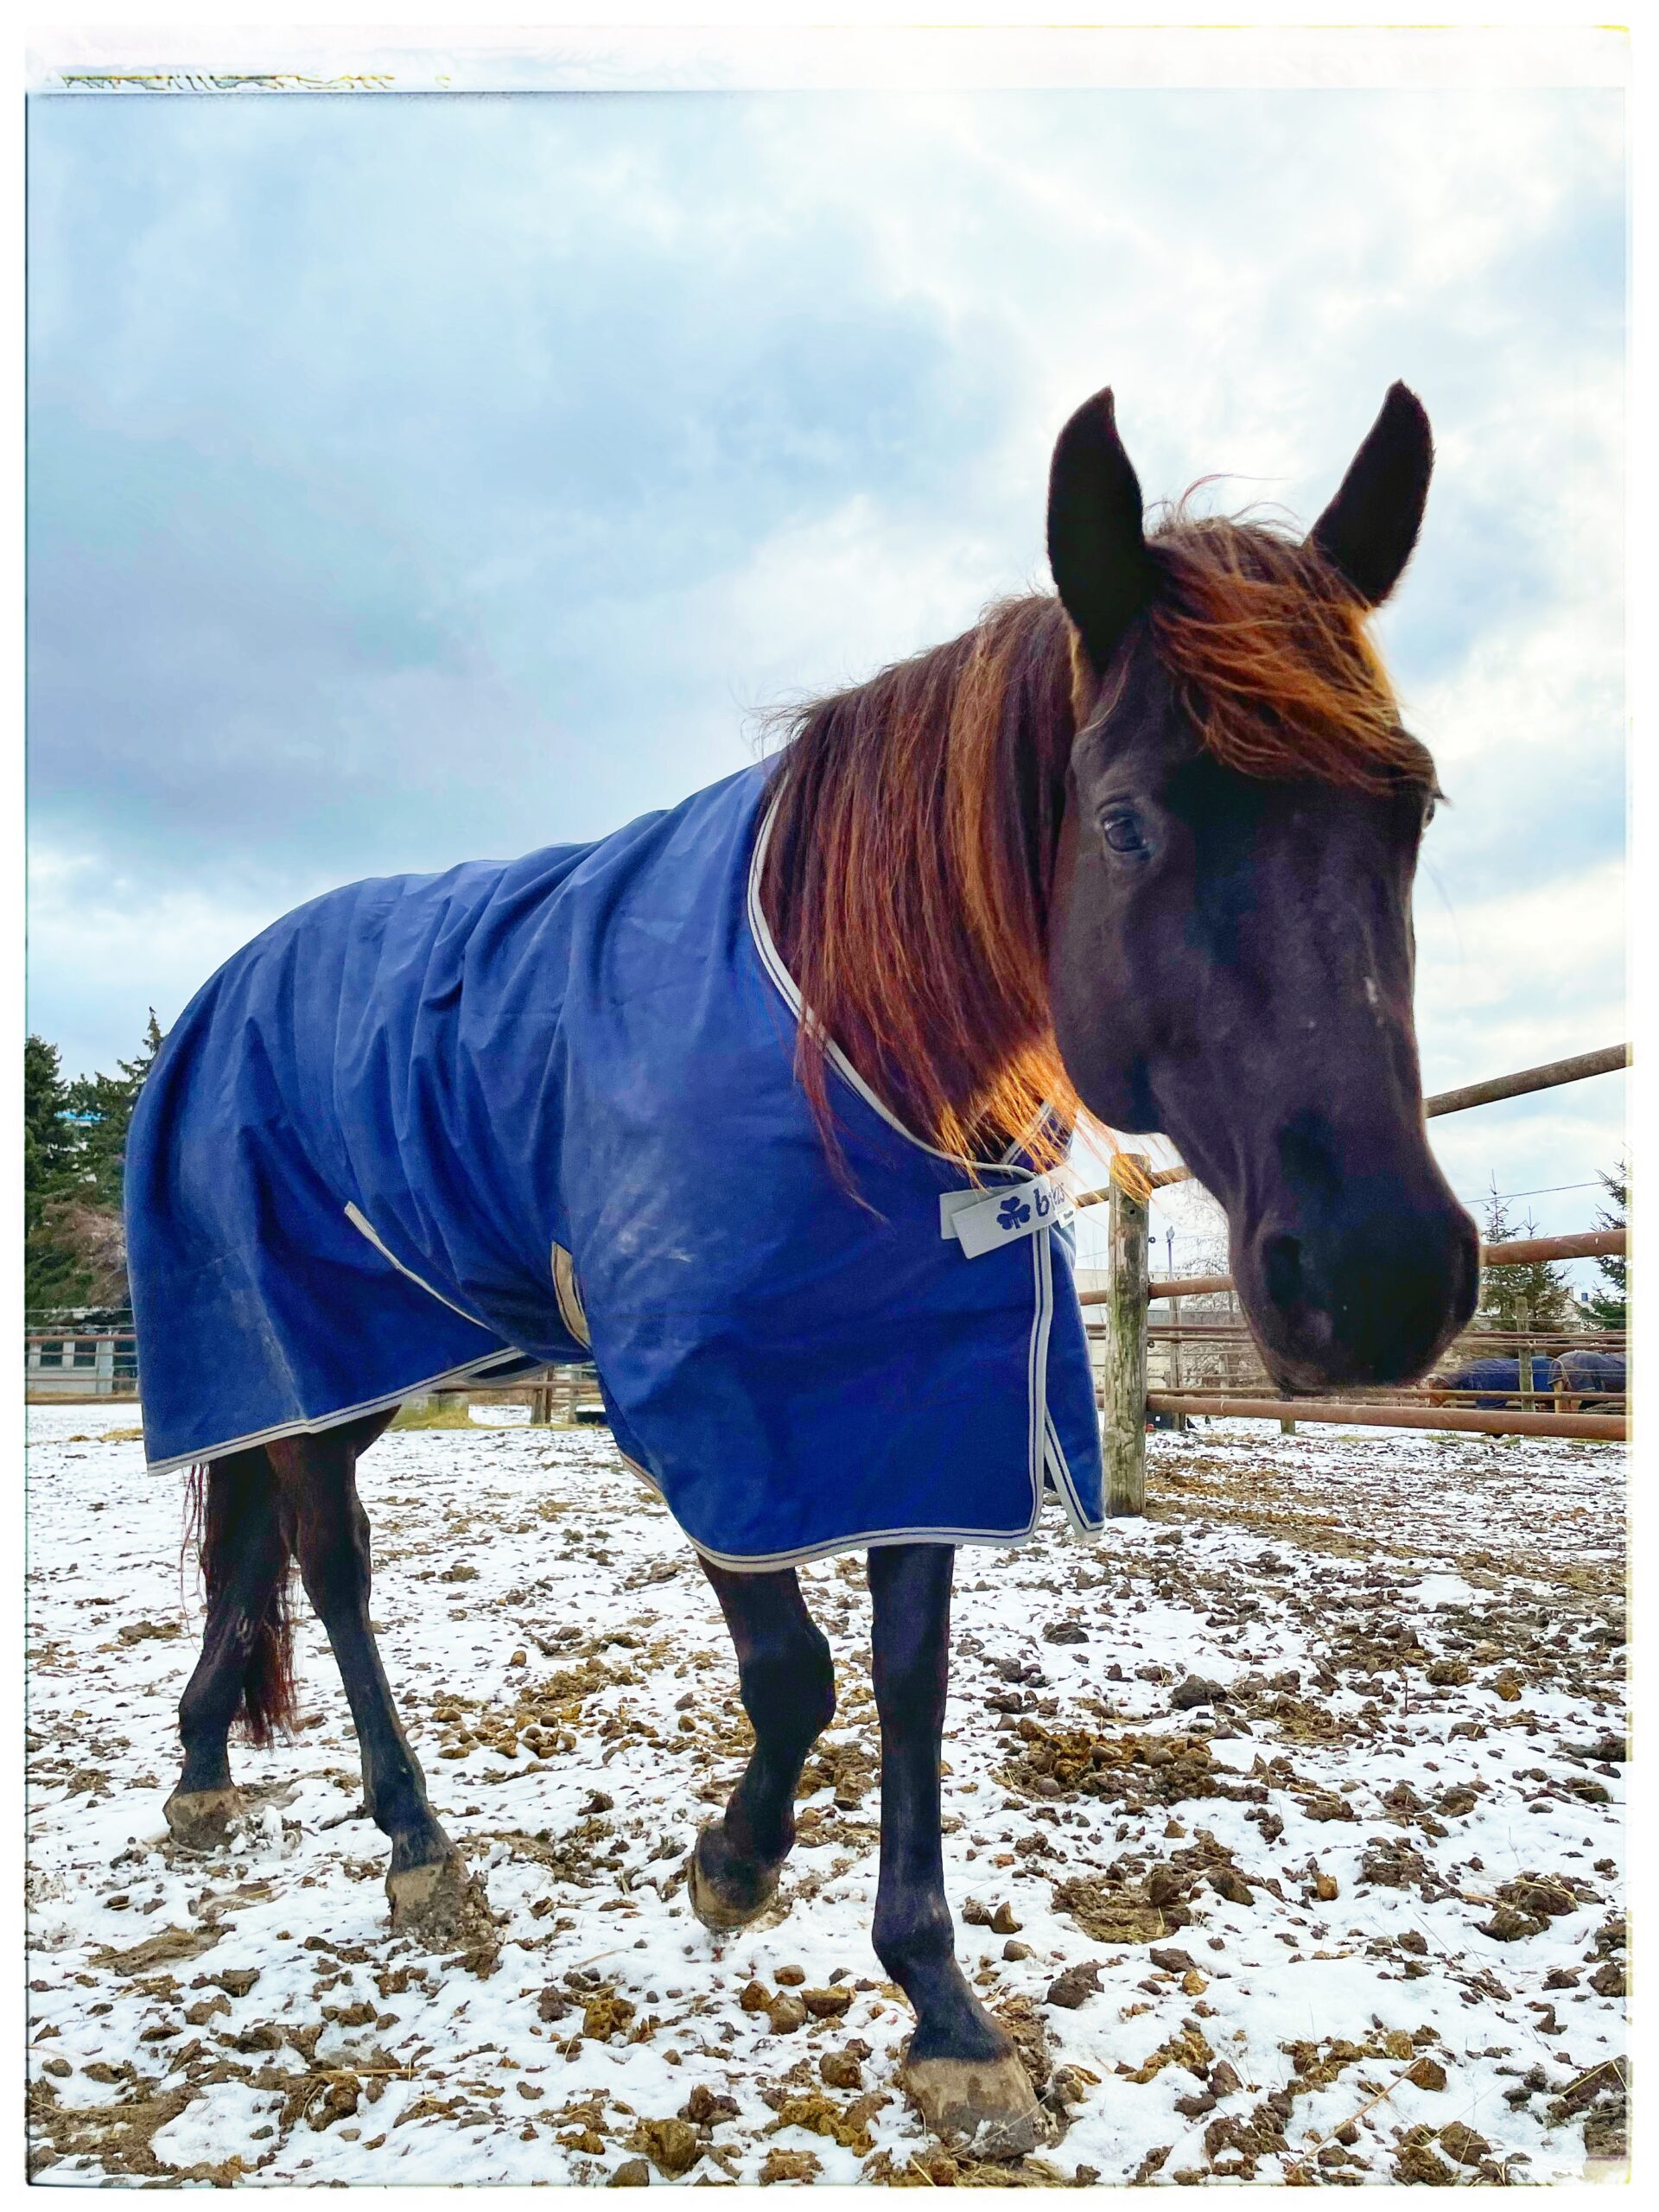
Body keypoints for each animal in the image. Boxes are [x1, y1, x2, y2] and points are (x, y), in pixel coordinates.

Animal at [126, 380, 1478, 2159]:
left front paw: (945, 2015)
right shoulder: (709, 1416)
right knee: (331, 1560)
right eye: (1125, 820)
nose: (1386, 1278)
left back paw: (206, 1768)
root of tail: (229, 981)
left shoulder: (916, 1403)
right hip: (307, 1342)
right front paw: (733, 1864)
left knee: (255, 1543)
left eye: (1411, 810)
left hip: (342, 1368)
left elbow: (907, 1680)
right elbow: (796, 1675)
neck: (849, 1034)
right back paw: (415, 1842)